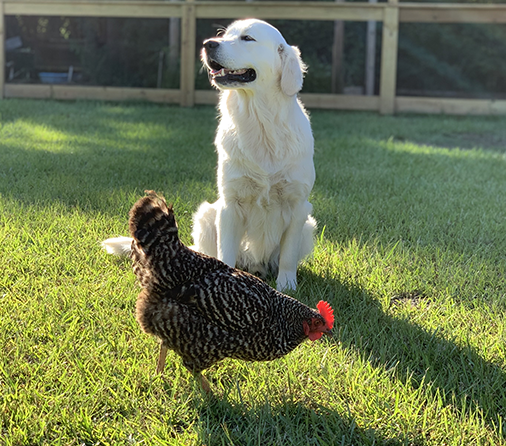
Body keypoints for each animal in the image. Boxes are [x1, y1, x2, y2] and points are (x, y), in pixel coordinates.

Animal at [192, 19, 314, 290]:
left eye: (247, 38)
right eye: (224, 35)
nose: (208, 44)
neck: (260, 123)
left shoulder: (298, 205)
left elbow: (288, 255)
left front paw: (286, 285)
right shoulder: (230, 204)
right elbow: (225, 252)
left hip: (309, 225)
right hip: (207, 215)